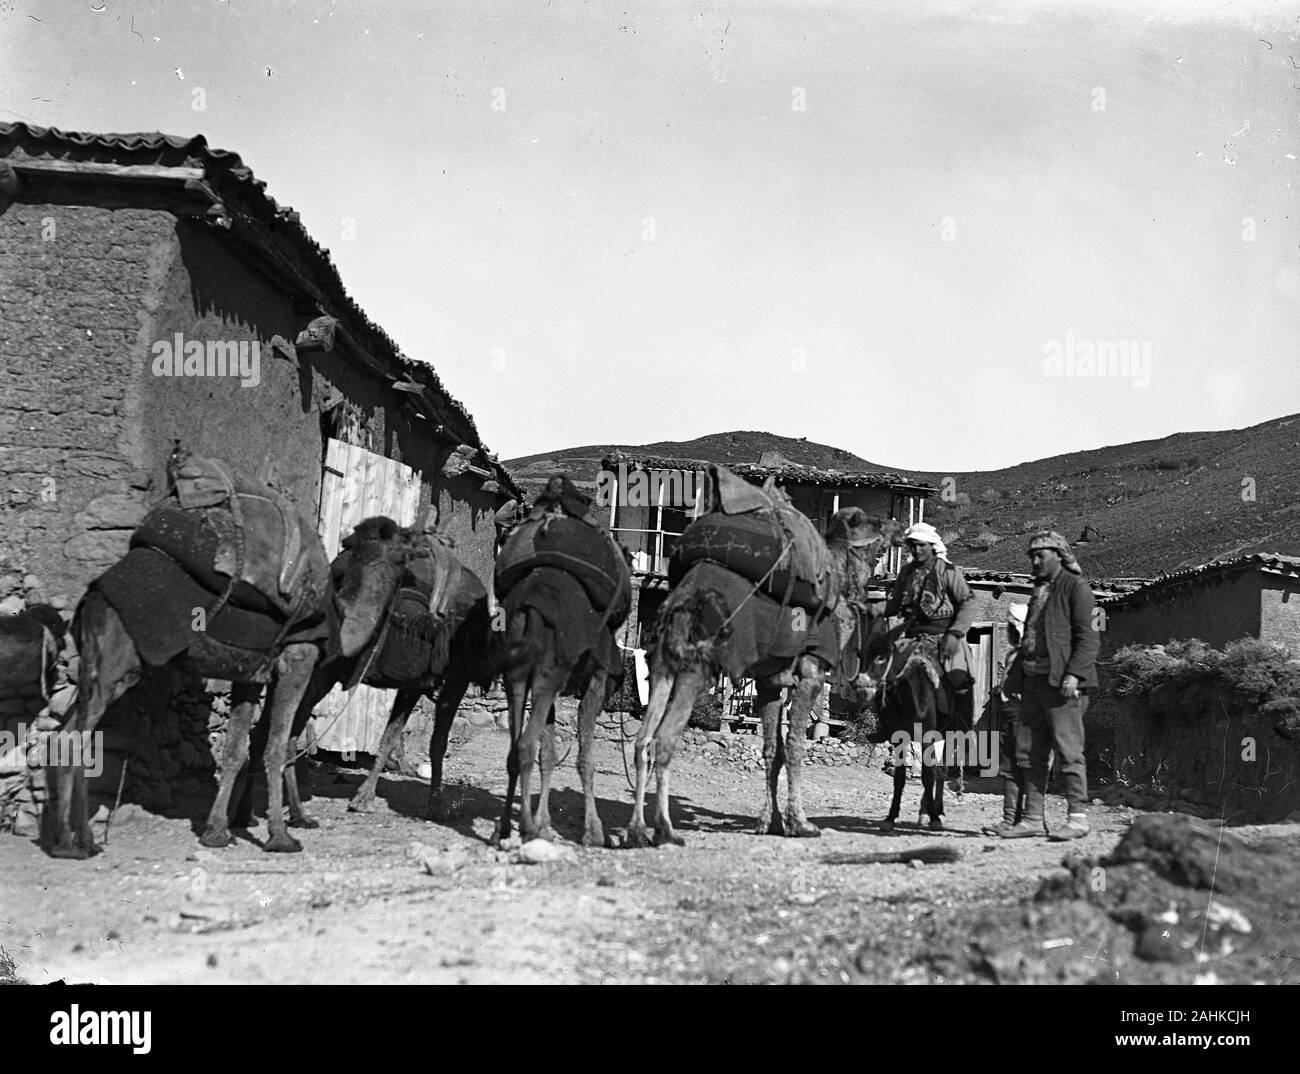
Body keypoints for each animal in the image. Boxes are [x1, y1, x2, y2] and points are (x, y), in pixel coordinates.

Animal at [626, 501, 894, 847]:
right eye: (867, 519)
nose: (894, 527)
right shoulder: (811, 675)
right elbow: (794, 744)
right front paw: (800, 823)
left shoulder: (770, 683)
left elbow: (772, 749)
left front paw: (770, 821)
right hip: (697, 668)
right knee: (665, 738)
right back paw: (665, 829)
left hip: (663, 664)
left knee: (643, 740)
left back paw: (637, 830)